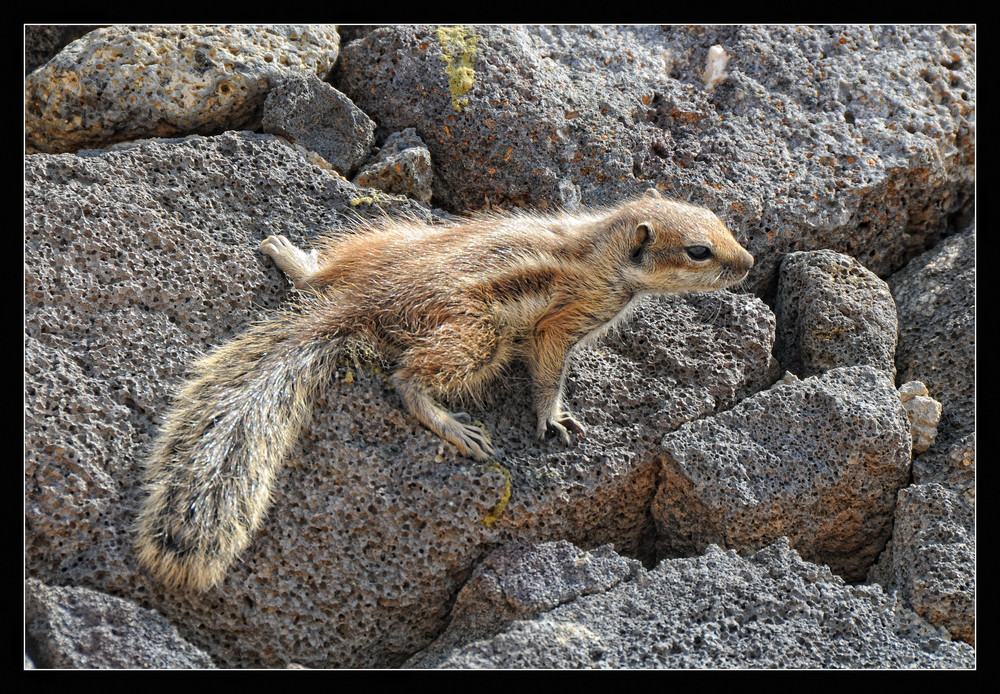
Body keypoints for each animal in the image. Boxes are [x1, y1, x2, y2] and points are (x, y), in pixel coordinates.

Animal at [137, 190, 752, 592]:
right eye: (698, 250)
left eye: (722, 223)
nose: (747, 263)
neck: (602, 244)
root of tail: (366, 302)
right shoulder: (564, 320)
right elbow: (548, 370)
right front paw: (553, 416)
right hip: (478, 333)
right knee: (407, 378)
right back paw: (452, 425)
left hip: (392, 237)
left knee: (327, 275)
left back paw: (292, 254)